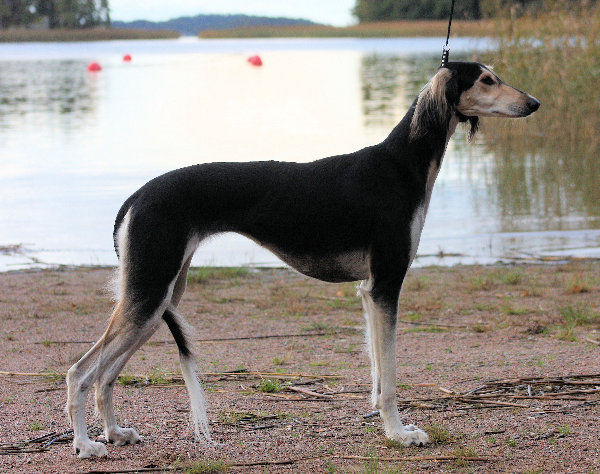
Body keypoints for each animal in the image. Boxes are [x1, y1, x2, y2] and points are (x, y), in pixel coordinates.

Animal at [66, 61, 539, 458]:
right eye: (487, 80)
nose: (533, 103)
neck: (400, 163)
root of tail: (137, 196)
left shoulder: (369, 292)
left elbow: (377, 372)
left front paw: (387, 427)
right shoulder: (386, 284)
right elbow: (389, 380)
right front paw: (400, 435)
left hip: (158, 297)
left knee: (105, 374)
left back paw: (114, 433)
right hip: (149, 293)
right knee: (79, 372)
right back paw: (86, 445)